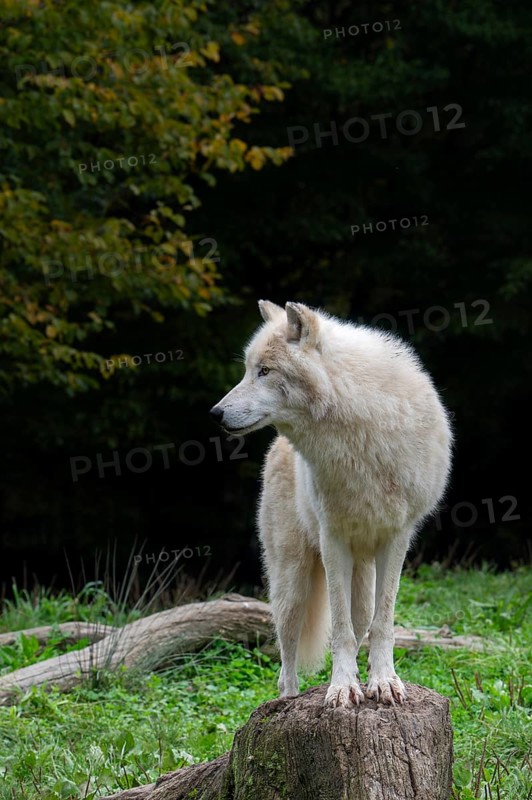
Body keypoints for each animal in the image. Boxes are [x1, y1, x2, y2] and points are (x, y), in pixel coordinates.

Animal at [211, 301, 452, 708]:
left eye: (264, 371)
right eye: (248, 369)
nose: (215, 413)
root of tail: (277, 446)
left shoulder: (397, 537)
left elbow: (382, 623)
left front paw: (383, 682)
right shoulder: (332, 538)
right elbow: (340, 629)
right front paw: (342, 688)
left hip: (361, 577)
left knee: (362, 623)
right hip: (292, 583)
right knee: (286, 658)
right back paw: (288, 702)